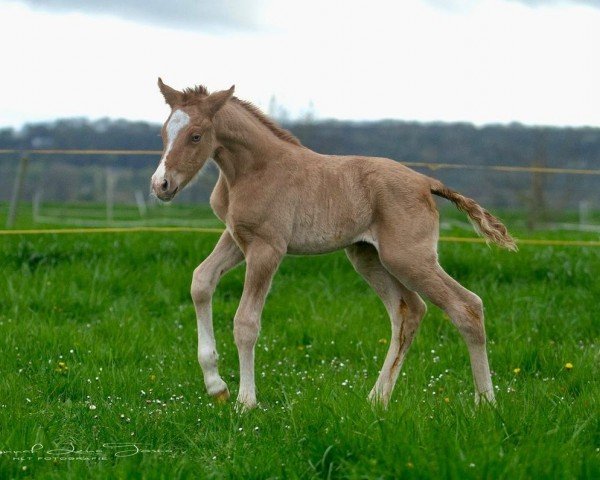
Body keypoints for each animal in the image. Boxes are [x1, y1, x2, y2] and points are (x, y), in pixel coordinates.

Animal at [150, 79, 516, 408]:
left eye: (196, 135)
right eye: (164, 134)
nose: (161, 185)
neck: (252, 169)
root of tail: (427, 182)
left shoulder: (268, 247)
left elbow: (246, 323)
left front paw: (245, 402)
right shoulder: (236, 238)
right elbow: (201, 281)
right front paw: (216, 386)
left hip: (409, 258)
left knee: (466, 306)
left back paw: (486, 403)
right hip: (368, 256)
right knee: (409, 311)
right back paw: (377, 400)